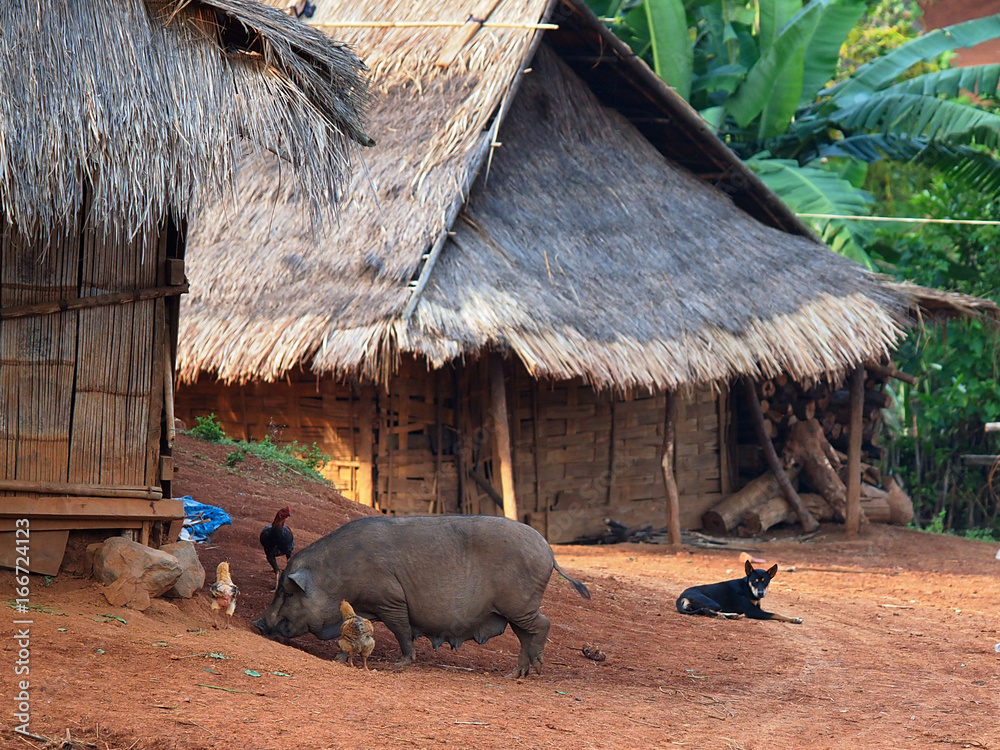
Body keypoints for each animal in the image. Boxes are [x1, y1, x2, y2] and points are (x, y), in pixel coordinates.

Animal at [253, 514, 590, 677]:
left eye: (287, 593)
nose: (258, 623)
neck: (335, 577)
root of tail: (549, 551)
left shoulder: (390, 599)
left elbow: (402, 630)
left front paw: (402, 662)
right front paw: (339, 658)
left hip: (520, 604)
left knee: (543, 624)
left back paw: (536, 669)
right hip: (513, 609)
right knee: (525, 635)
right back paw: (516, 674)